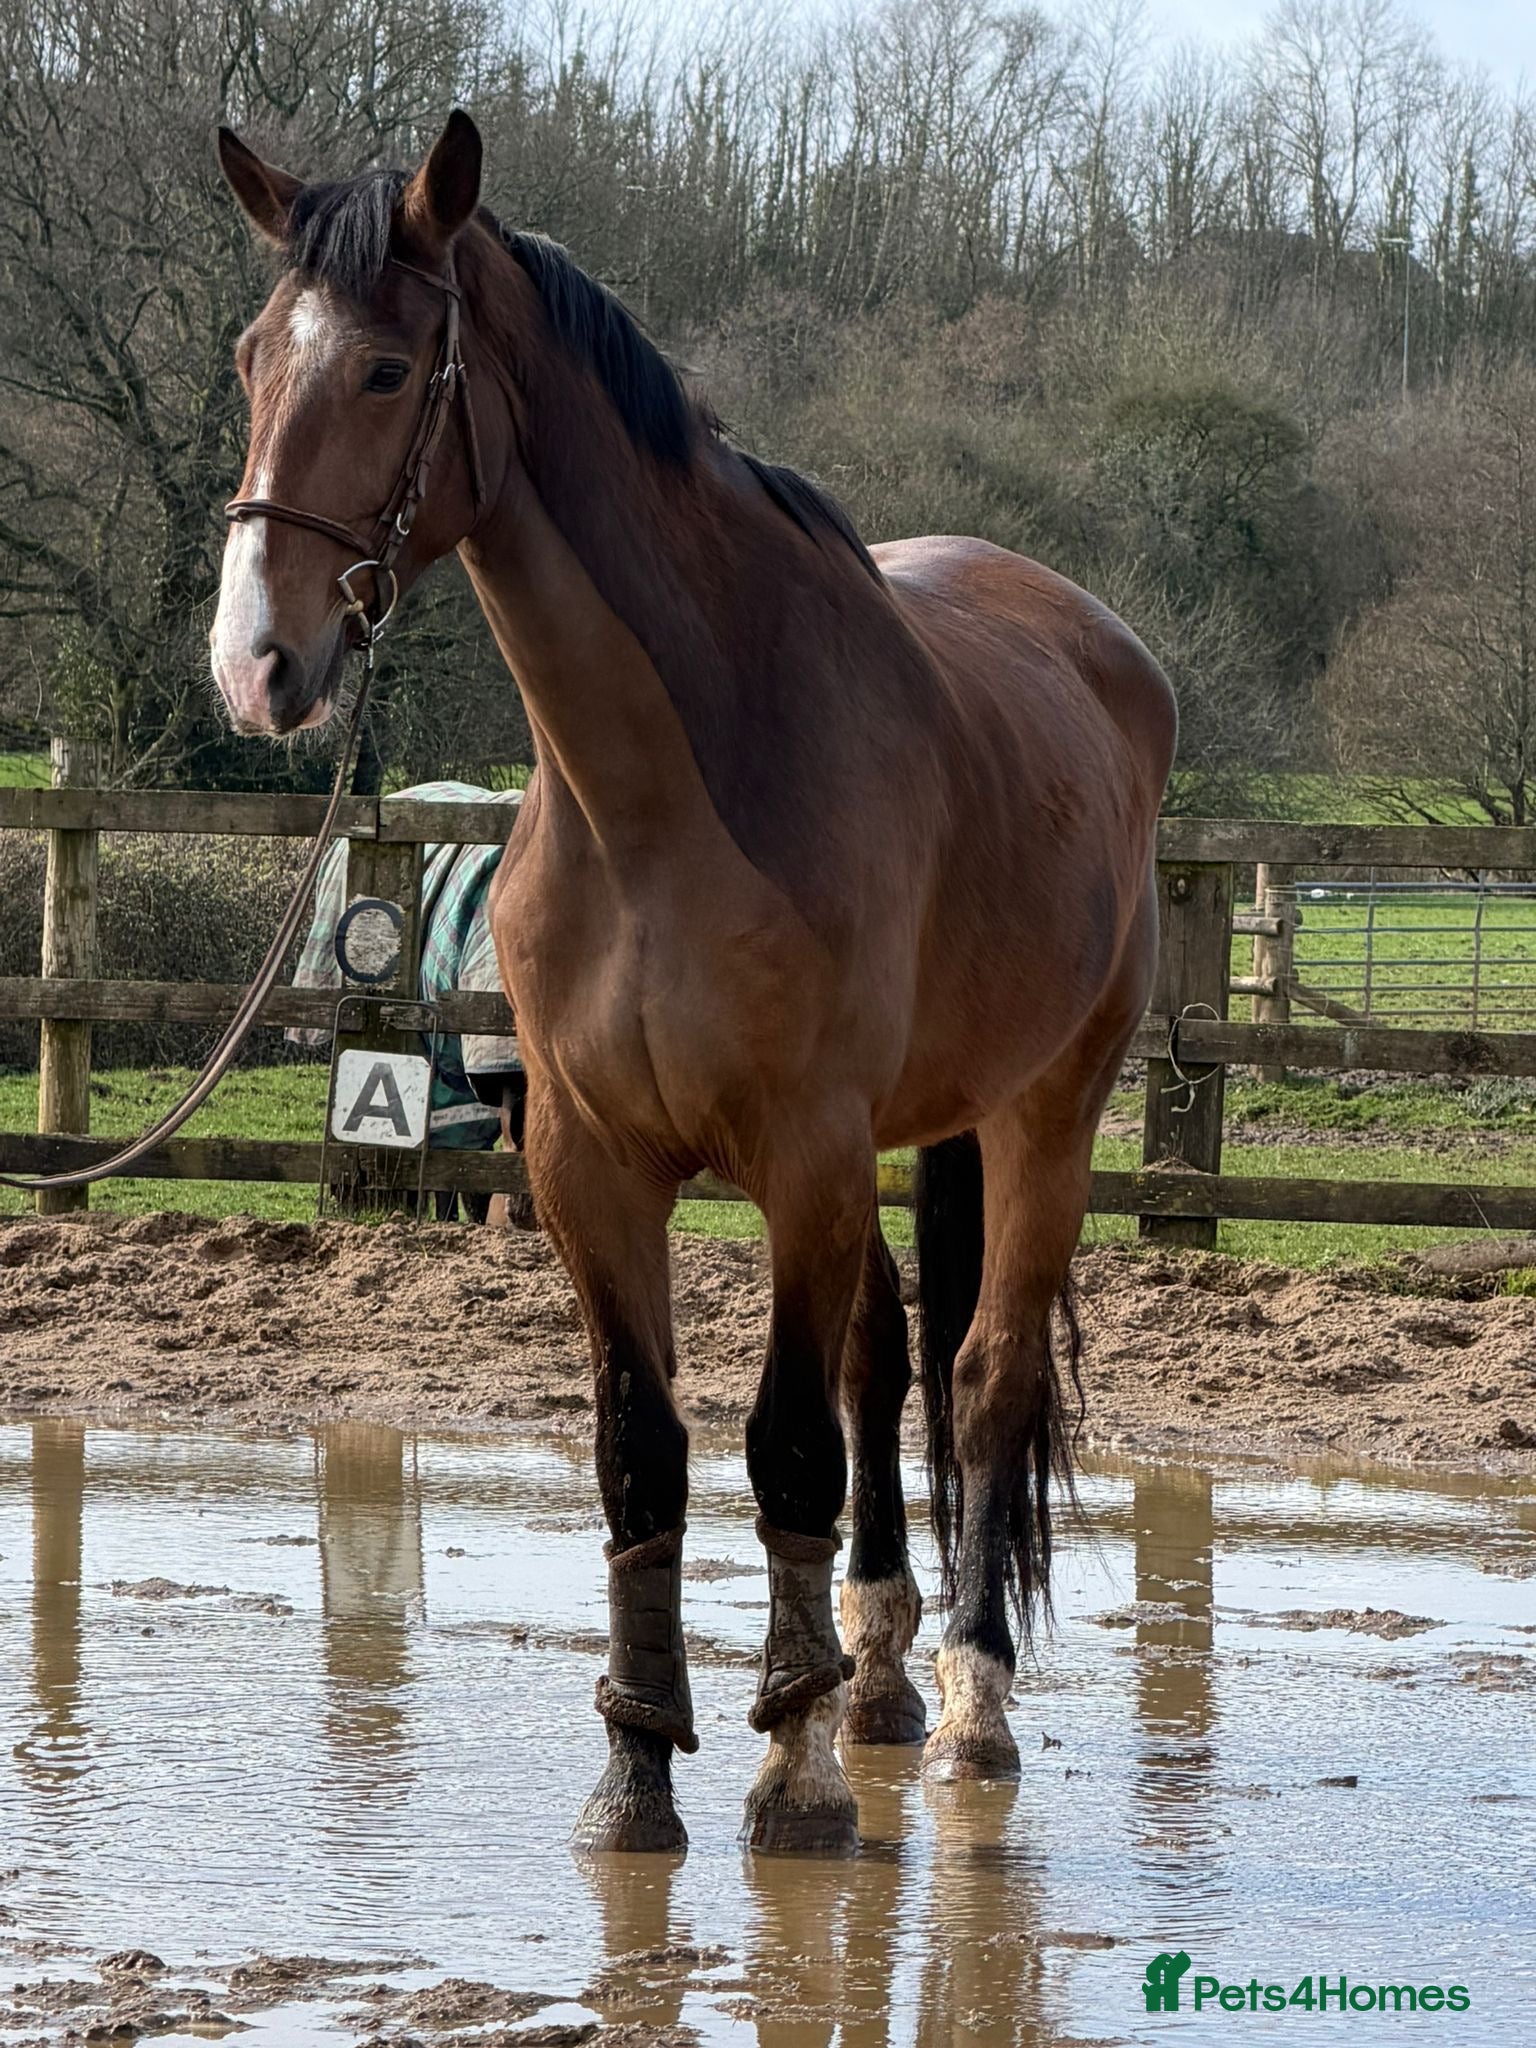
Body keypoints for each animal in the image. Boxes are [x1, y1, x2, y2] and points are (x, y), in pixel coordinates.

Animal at [209, 110, 1176, 1857]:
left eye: (384, 370)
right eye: (254, 357)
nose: (256, 666)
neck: (663, 794)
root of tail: (1097, 646)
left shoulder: (800, 1152)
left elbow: (783, 1447)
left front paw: (789, 1774)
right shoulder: (587, 1167)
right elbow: (641, 1457)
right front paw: (640, 1767)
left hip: (1041, 1112)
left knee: (984, 1378)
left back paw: (971, 1703)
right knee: (886, 1360)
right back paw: (877, 1674)